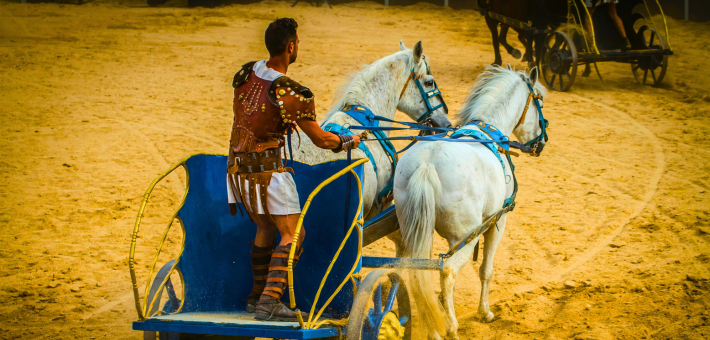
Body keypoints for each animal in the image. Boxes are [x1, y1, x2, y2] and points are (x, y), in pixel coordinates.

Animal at [394, 65, 552, 338]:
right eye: (539, 101)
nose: (542, 143)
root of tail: (427, 164)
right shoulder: (497, 223)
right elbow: (486, 271)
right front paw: (484, 312)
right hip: (464, 238)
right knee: (448, 272)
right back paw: (450, 327)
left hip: (417, 231)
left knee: (419, 274)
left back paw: (433, 324)